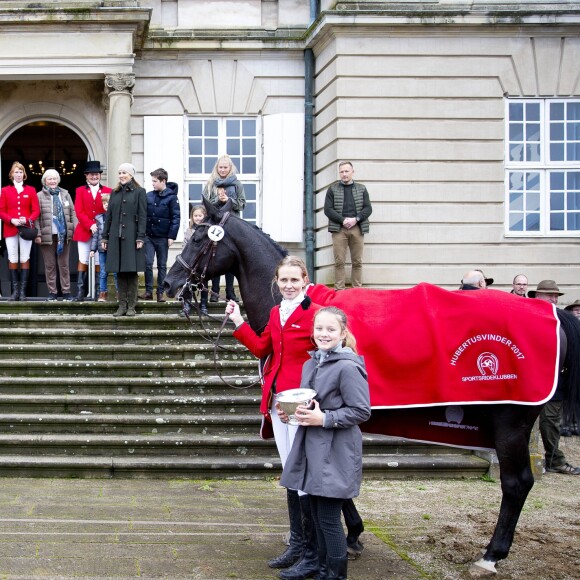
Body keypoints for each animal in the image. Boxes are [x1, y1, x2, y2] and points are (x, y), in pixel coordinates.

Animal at [164, 198, 580, 576]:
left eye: (198, 237)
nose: (169, 283)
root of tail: (550, 312)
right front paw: (349, 535)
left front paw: (342, 538)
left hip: (512, 422)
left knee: (516, 483)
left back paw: (491, 555)